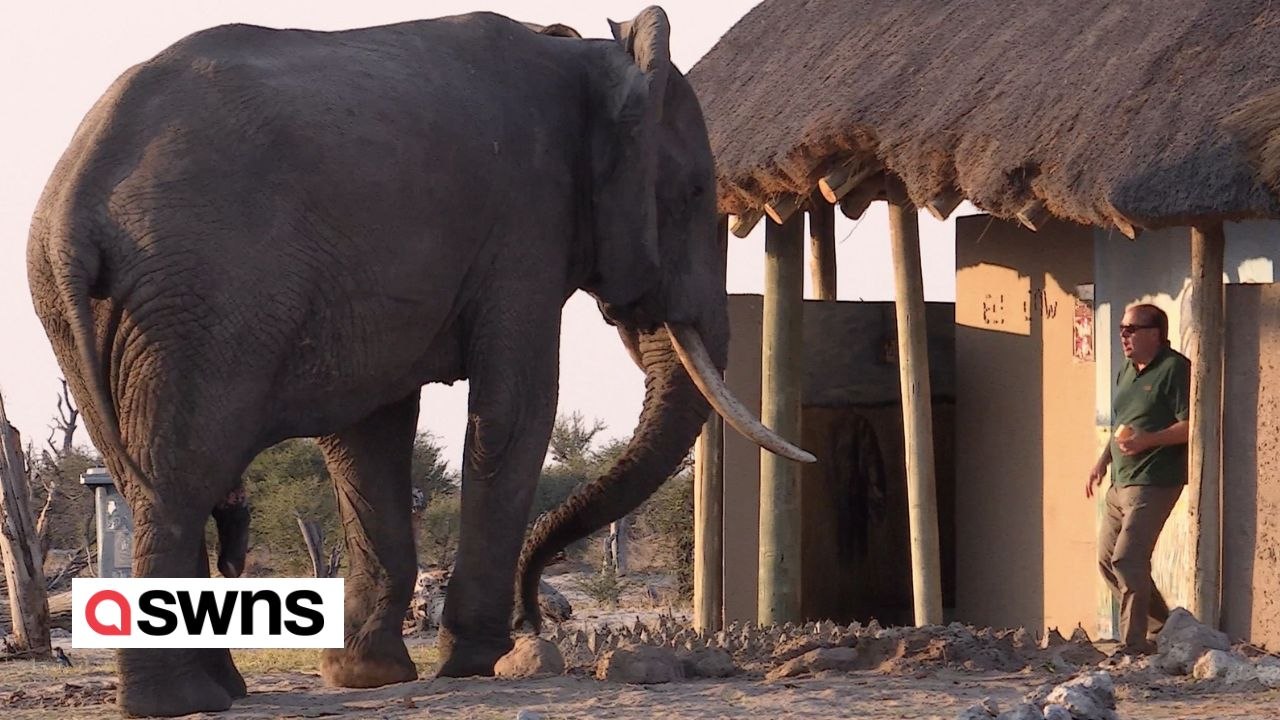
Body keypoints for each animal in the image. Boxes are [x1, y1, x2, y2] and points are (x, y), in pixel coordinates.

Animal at [27, 6, 811, 717]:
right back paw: (182, 702)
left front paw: (368, 677)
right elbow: (516, 410)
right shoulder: (526, 219)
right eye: (696, 193)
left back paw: (220, 693)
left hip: (89, 312)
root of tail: (76, 202)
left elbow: (370, 436)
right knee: (179, 478)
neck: (590, 55)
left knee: (151, 476)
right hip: (203, 294)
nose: (537, 615)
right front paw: (478, 662)